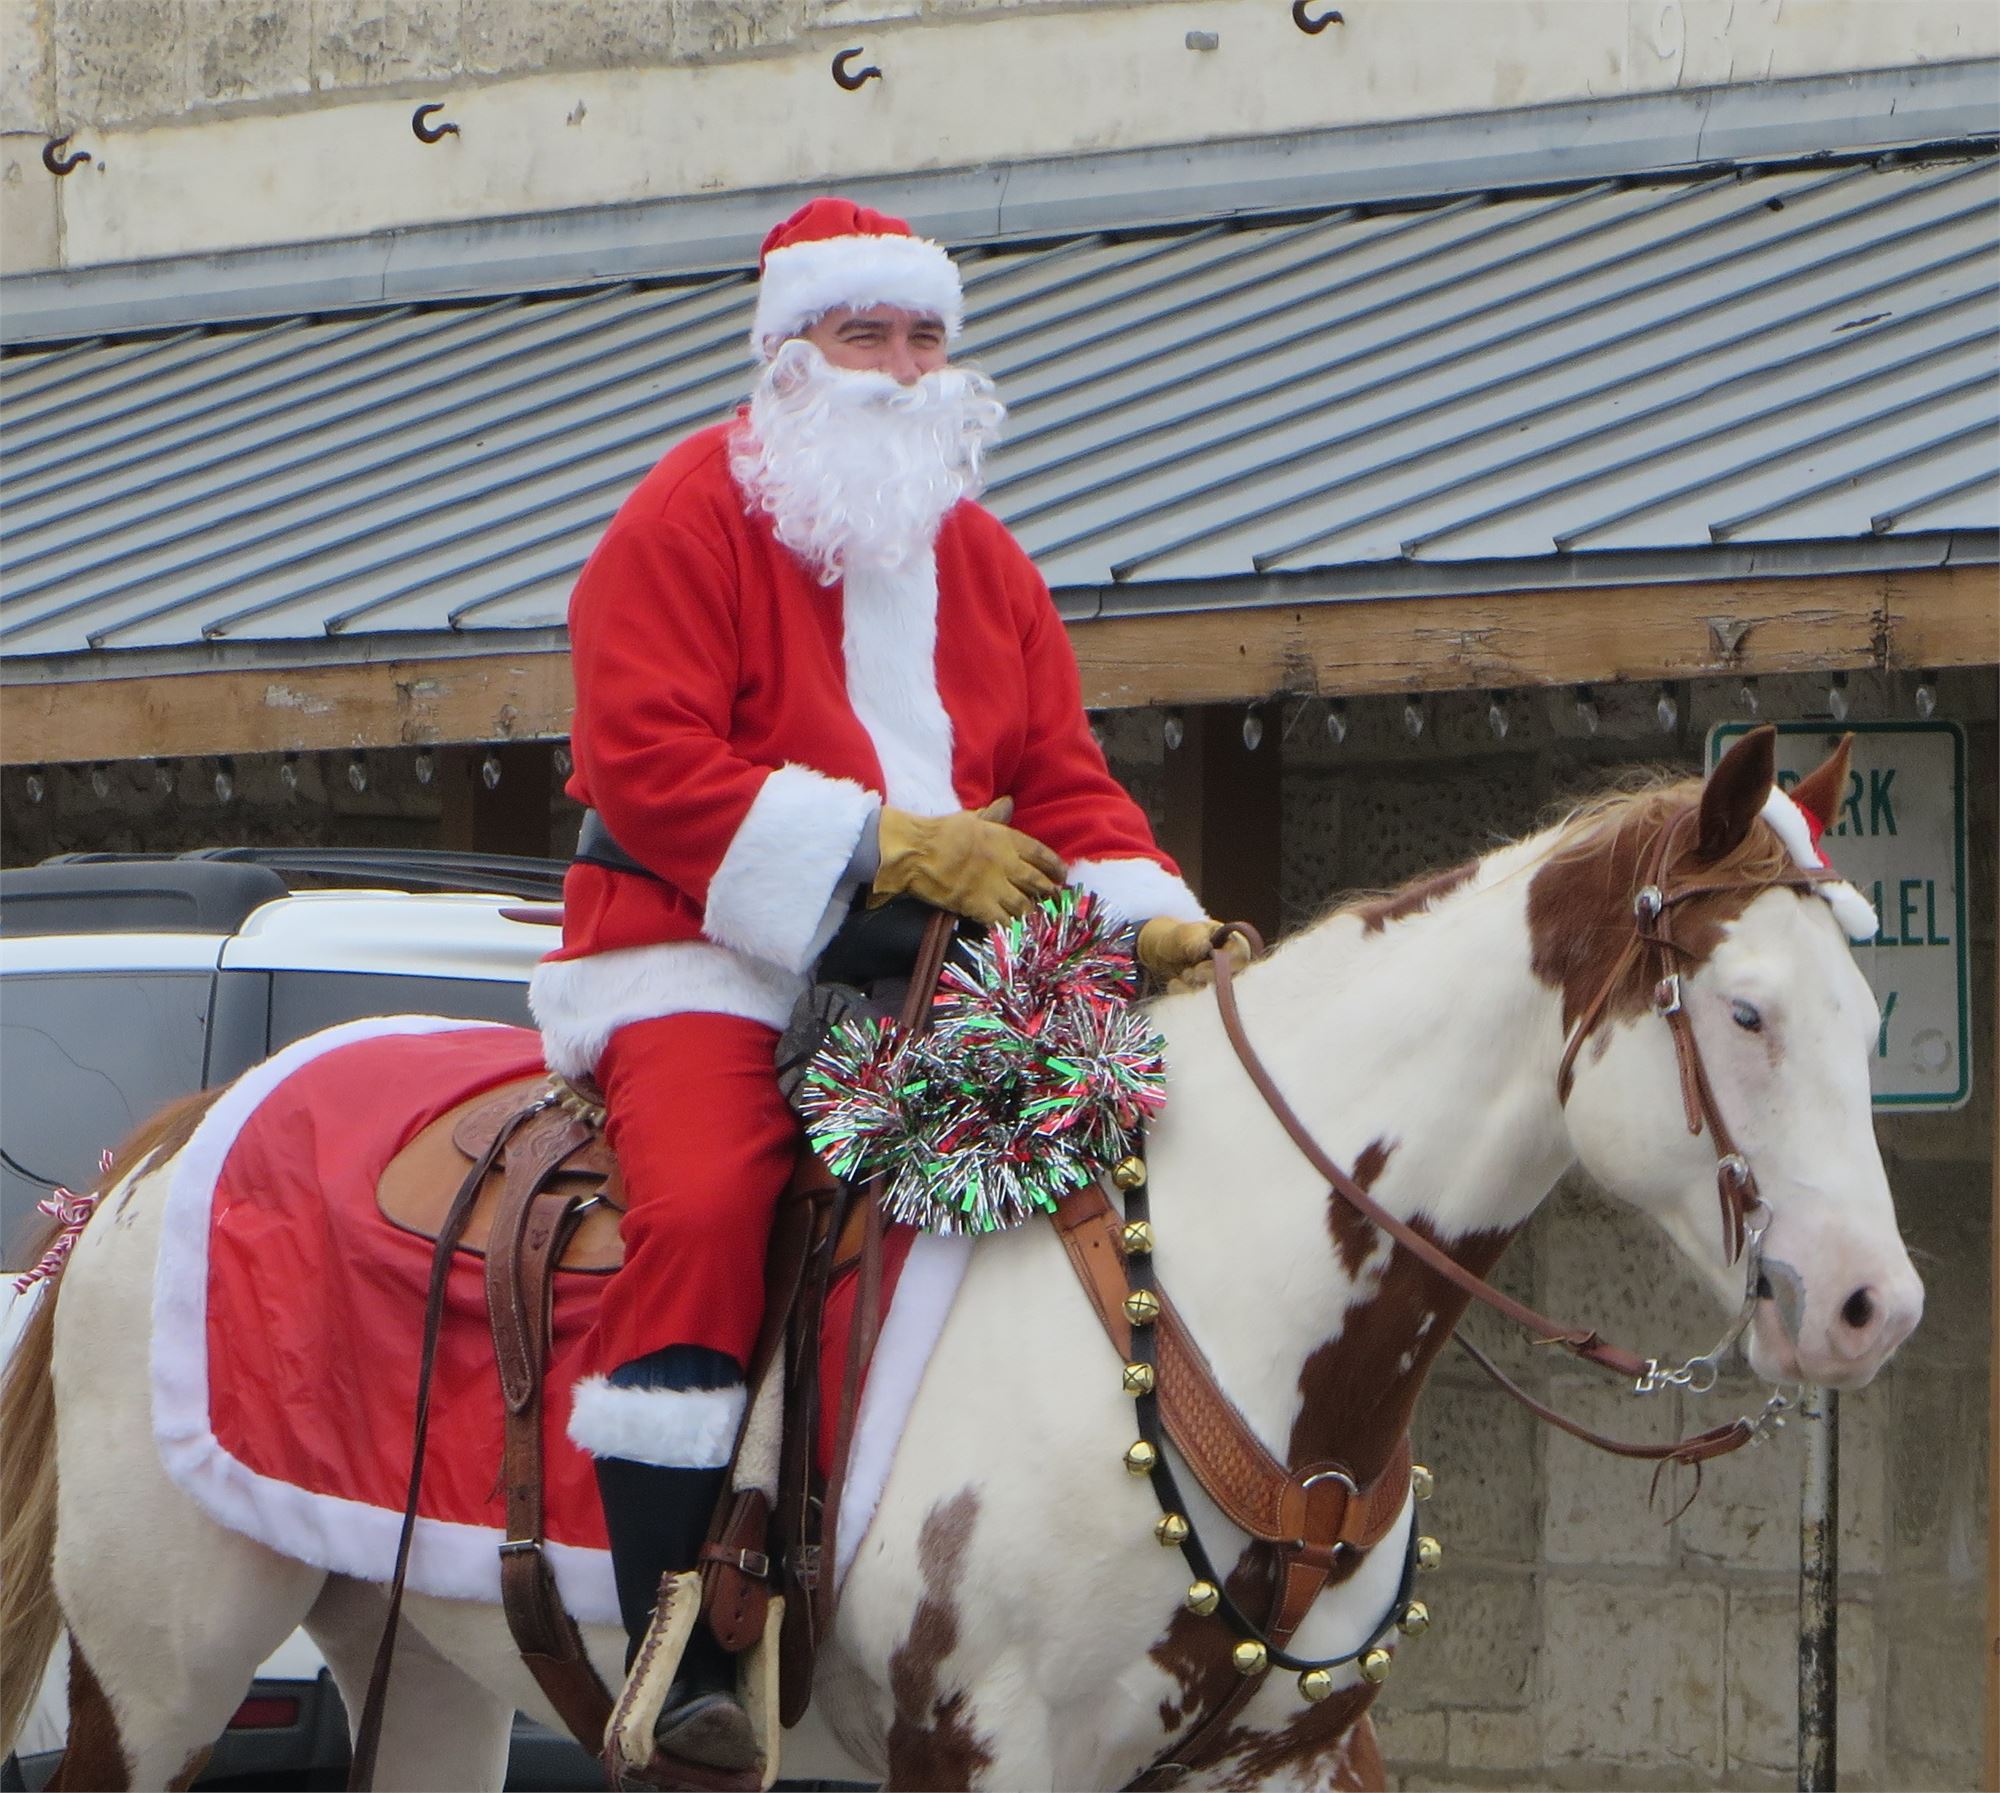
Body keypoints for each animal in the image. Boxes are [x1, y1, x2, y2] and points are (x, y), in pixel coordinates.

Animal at [0, 732, 1920, 1793]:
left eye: (1870, 1011)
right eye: (1746, 1014)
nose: (1867, 1305)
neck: (1217, 1298)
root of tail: (172, 1139)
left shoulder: (1291, 1760)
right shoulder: (980, 1748)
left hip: (422, 1657)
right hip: (158, 1675)